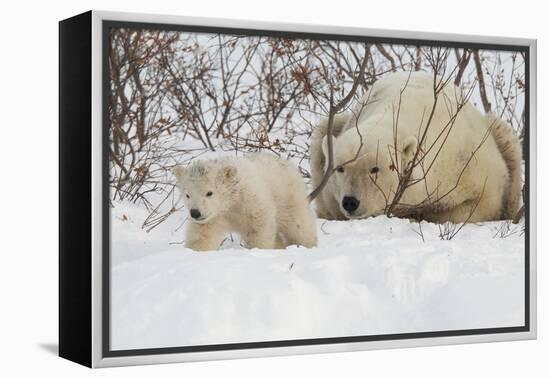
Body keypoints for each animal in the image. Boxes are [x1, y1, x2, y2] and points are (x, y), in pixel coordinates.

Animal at [172, 154, 320, 251]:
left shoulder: (251, 202)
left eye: (209, 193)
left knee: (298, 225)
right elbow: (202, 235)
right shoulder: (213, 217)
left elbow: (259, 228)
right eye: (187, 194)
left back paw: (307, 244)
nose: (195, 213)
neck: (230, 202)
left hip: (288, 197)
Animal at [312, 70, 524, 223]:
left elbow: (483, 201)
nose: (350, 202)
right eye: (340, 168)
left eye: (375, 169)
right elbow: (329, 205)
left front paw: (421, 214)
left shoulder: (467, 162)